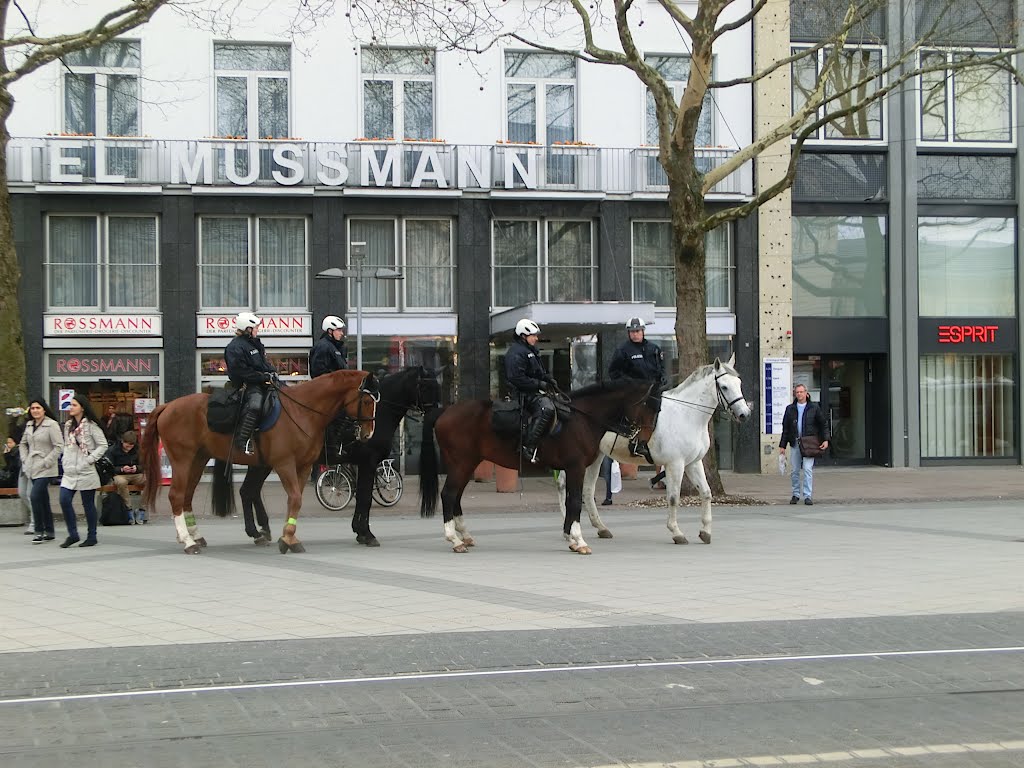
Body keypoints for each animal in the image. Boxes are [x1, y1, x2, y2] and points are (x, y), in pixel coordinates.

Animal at [143, 370, 380, 557]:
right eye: (367, 401)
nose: (368, 435)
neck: (303, 412)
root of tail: (167, 406)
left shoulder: (303, 467)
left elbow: (294, 500)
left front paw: (289, 536)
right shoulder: (284, 464)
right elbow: (295, 499)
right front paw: (287, 539)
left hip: (198, 461)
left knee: (188, 496)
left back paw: (197, 535)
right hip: (182, 460)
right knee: (177, 496)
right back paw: (188, 541)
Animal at [419, 380, 659, 557]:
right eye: (647, 405)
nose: (644, 443)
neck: (582, 419)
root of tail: (444, 411)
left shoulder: (571, 469)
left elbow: (570, 501)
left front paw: (571, 538)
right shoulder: (576, 467)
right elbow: (574, 501)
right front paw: (579, 540)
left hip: (467, 464)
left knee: (456, 496)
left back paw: (465, 536)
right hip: (461, 463)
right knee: (448, 494)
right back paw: (454, 540)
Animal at [561, 360, 753, 548]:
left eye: (739, 383)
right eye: (724, 387)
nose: (744, 414)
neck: (687, 415)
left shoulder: (693, 462)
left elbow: (706, 493)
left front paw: (705, 532)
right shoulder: (675, 464)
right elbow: (674, 498)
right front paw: (676, 532)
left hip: (595, 457)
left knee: (585, 490)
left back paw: (599, 528)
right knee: (568, 487)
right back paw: (569, 529)